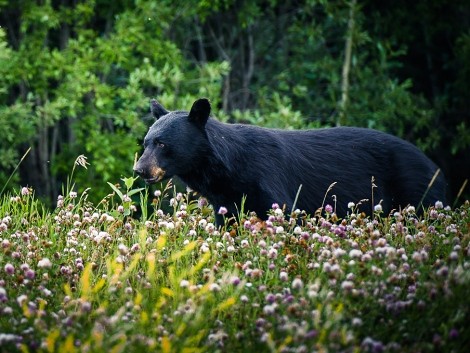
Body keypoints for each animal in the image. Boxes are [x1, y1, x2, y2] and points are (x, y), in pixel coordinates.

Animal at [134, 97, 446, 224]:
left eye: (162, 144)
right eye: (146, 141)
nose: (139, 169)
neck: (226, 170)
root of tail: (435, 166)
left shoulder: (267, 182)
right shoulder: (226, 200)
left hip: (418, 191)